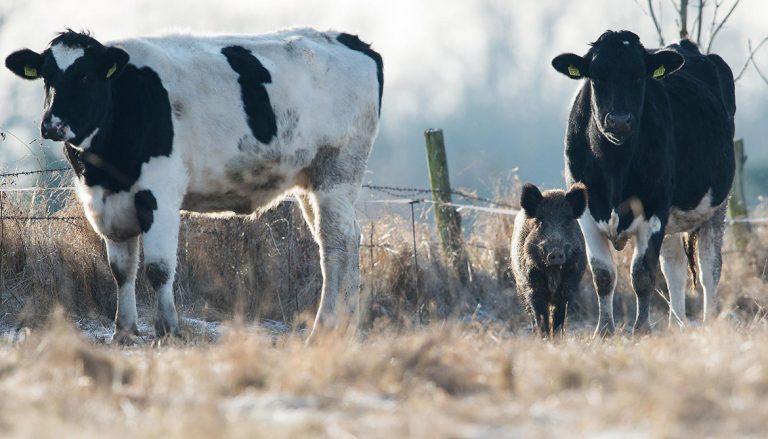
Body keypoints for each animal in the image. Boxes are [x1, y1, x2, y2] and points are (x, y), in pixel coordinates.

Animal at [3, 29, 380, 342]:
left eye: (85, 75)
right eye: (47, 77)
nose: (52, 124)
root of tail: (351, 40)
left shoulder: (159, 193)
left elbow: (158, 269)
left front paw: (168, 331)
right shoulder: (107, 202)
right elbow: (121, 271)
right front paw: (123, 332)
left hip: (337, 171)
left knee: (335, 245)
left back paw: (325, 327)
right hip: (310, 183)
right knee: (347, 239)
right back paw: (347, 326)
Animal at [556, 29, 736, 336]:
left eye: (639, 75)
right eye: (596, 76)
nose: (618, 121)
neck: (615, 166)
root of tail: (684, 45)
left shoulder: (654, 208)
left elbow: (642, 274)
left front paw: (641, 329)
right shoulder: (587, 213)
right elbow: (603, 274)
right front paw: (604, 331)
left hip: (716, 205)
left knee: (710, 267)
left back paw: (710, 321)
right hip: (673, 217)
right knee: (674, 267)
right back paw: (677, 324)